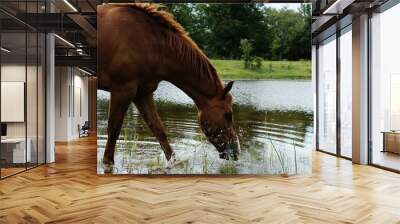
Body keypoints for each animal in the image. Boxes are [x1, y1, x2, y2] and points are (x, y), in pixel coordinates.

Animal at [97, 2, 241, 165]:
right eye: (228, 115)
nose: (236, 151)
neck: (149, 42)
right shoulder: (122, 91)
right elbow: (113, 130)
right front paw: (107, 162)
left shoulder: (142, 93)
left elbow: (159, 130)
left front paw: (173, 162)